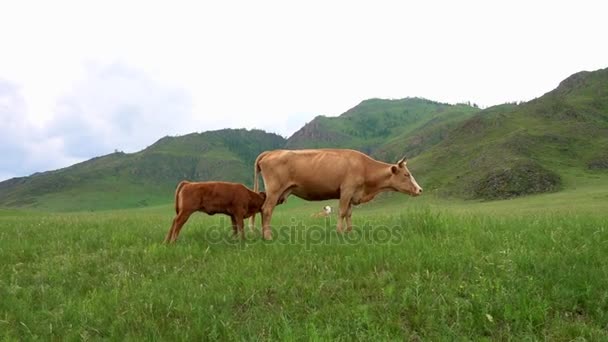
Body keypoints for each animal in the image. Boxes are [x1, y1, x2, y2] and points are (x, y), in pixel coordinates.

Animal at [249, 148, 420, 239]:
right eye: (406, 174)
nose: (420, 190)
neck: (364, 167)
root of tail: (270, 152)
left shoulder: (352, 194)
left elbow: (349, 213)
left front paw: (350, 232)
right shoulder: (346, 190)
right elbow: (342, 212)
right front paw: (339, 232)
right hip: (274, 190)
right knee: (267, 210)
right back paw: (268, 236)